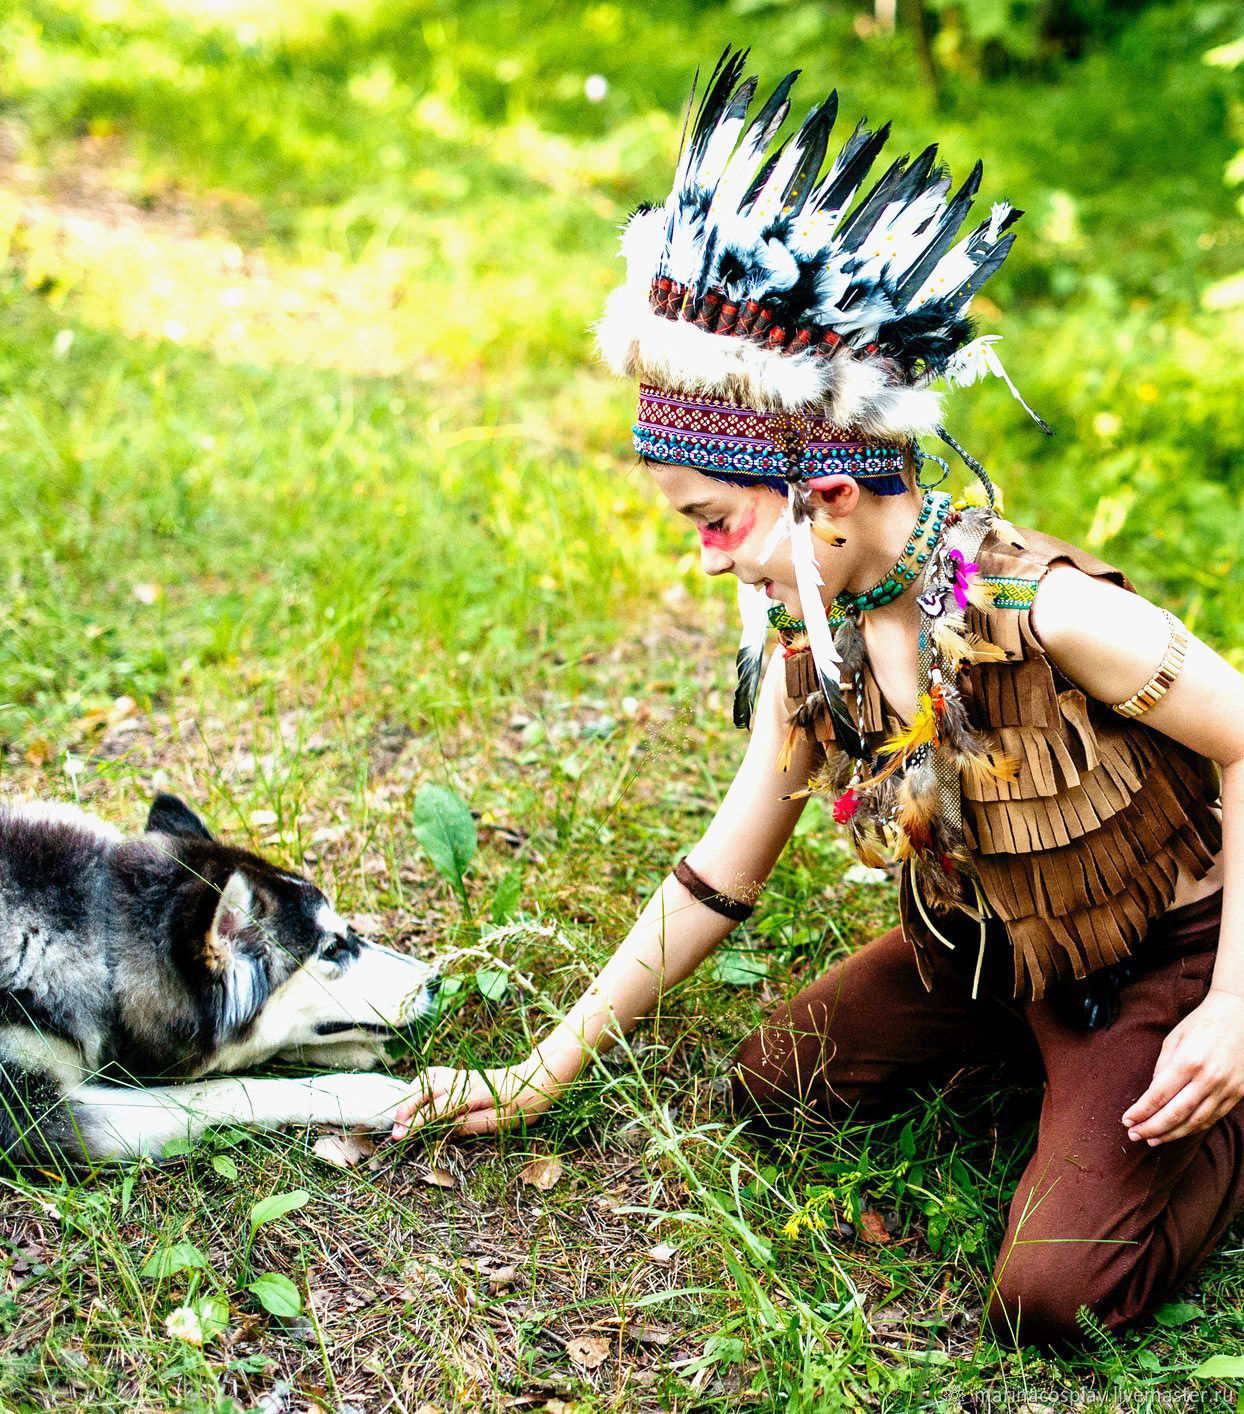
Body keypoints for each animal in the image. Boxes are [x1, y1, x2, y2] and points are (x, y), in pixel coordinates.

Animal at [0, 797, 438, 1170]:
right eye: (332, 949)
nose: (434, 980)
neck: (99, 938)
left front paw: (351, 1052)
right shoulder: (33, 1115)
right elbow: (223, 1088)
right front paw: (362, 1092)